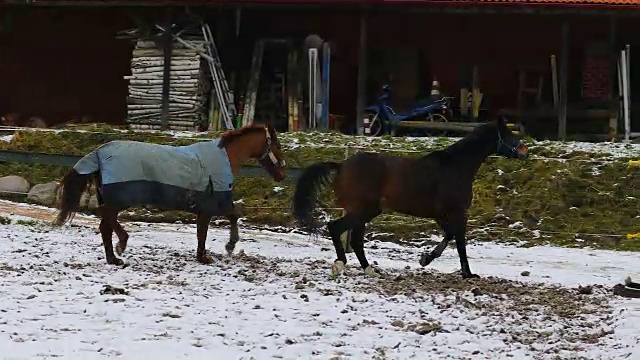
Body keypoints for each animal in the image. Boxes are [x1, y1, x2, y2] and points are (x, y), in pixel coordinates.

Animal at [53, 123, 286, 264]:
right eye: (277, 145)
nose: (282, 174)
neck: (225, 158)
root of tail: (99, 152)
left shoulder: (204, 209)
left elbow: (203, 231)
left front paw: (203, 255)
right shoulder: (215, 203)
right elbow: (230, 217)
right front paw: (225, 248)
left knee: (105, 225)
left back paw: (114, 258)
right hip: (119, 198)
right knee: (106, 219)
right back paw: (121, 245)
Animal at [292, 117, 528, 278]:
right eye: (509, 135)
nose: (525, 152)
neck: (455, 167)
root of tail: (341, 166)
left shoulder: (441, 215)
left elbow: (449, 236)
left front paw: (425, 259)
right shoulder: (458, 213)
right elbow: (459, 241)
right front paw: (467, 273)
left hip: (366, 212)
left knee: (355, 239)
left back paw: (369, 270)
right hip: (363, 210)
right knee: (336, 228)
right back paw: (341, 264)